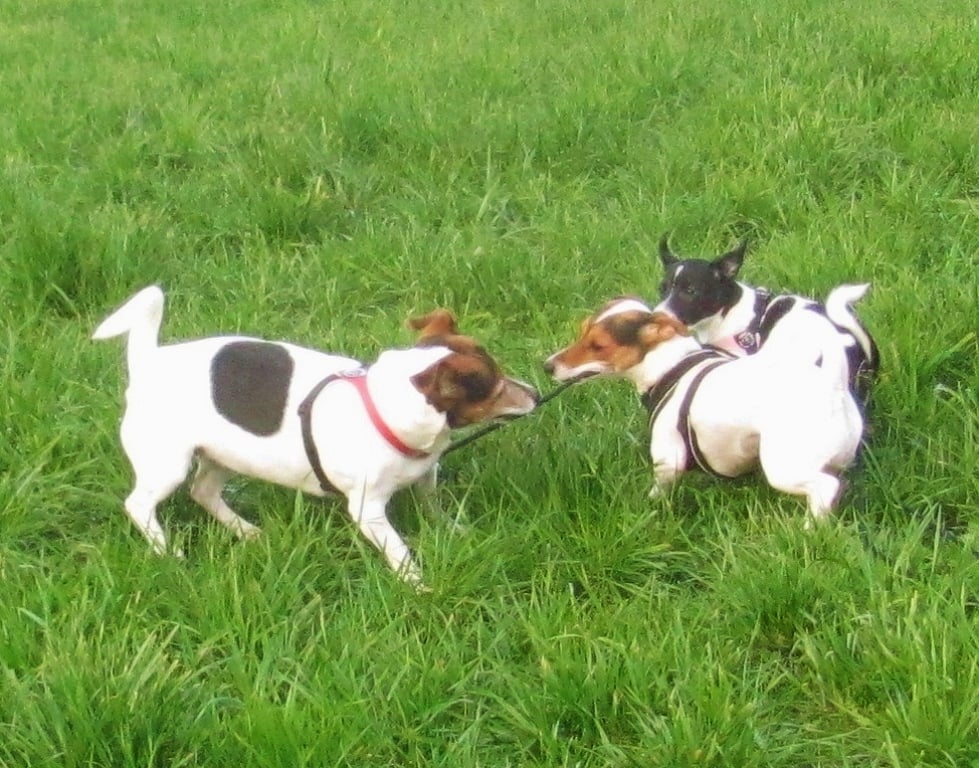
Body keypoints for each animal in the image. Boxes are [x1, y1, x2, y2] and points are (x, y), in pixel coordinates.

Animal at [93, 285, 538, 584]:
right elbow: (399, 551)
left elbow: (433, 504)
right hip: (168, 463)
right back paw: (167, 551)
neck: (382, 408)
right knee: (139, 504)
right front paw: (417, 584)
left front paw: (453, 529)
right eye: (497, 388)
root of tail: (148, 360)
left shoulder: (425, 473)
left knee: (203, 491)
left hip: (228, 454)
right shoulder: (368, 512)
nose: (535, 393)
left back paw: (246, 531)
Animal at [544, 297, 864, 523]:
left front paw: (648, 508)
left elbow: (658, 490)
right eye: (581, 331)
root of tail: (833, 384)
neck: (670, 365)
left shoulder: (667, 458)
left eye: (598, 345)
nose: (547, 366)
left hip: (783, 467)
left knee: (825, 488)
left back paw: (809, 529)